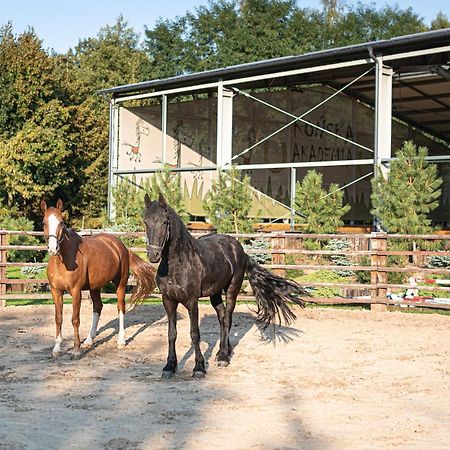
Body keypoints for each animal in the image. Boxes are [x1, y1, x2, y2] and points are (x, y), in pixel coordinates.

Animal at [42, 199, 155, 356]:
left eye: (61, 222)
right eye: (44, 222)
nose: (53, 249)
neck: (63, 261)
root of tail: (121, 246)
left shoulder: (76, 291)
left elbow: (75, 319)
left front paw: (76, 348)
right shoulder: (56, 291)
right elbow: (58, 318)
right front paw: (57, 348)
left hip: (120, 284)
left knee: (121, 308)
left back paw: (121, 341)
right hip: (94, 287)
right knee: (98, 307)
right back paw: (89, 340)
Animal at [144, 192, 310, 378]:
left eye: (164, 222)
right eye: (146, 221)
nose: (153, 255)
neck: (179, 263)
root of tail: (241, 250)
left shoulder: (192, 302)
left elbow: (195, 334)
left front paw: (199, 368)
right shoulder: (168, 301)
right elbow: (171, 333)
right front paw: (169, 366)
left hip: (232, 290)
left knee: (227, 318)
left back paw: (223, 357)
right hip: (215, 293)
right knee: (222, 317)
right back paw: (224, 352)